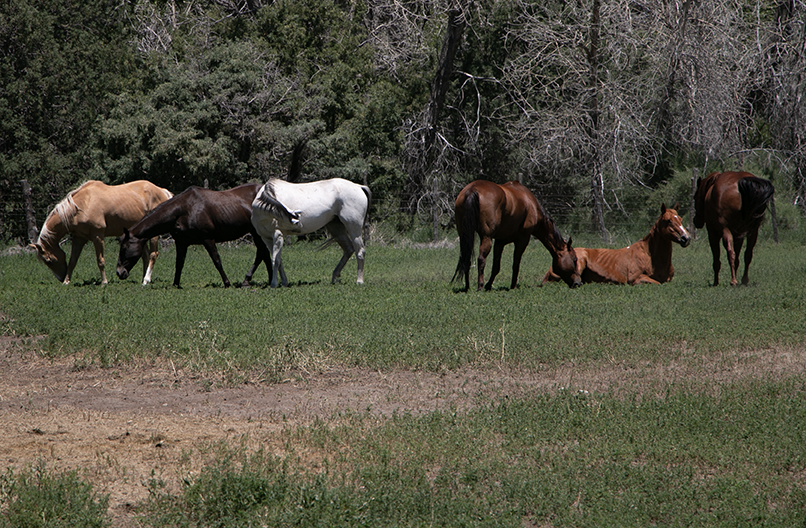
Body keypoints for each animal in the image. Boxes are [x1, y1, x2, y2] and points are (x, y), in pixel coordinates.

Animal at [29, 179, 172, 284]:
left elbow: (100, 261)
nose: (60, 278)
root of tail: (162, 191)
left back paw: (147, 280)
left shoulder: (98, 236)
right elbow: (72, 260)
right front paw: (67, 282)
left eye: (48, 261)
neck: (82, 205)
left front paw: (104, 282)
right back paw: (143, 279)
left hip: (154, 235)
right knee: (145, 255)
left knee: (153, 254)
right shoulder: (79, 238)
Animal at [117, 183, 274, 288]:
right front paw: (175, 284)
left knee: (261, 254)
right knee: (264, 254)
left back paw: (251, 280)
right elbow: (179, 264)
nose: (119, 272)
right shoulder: (181, 242)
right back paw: (268, 280)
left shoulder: (208, 239)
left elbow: (217, 261)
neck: (183, 210)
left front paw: (227, 283)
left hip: (256, 232)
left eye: (124, 249)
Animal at [544, 203, 696, 284]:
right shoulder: (637, 279)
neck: (649, 256)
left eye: (680, 219)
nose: (686, 238)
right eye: (668, 220)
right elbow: (657, 283)